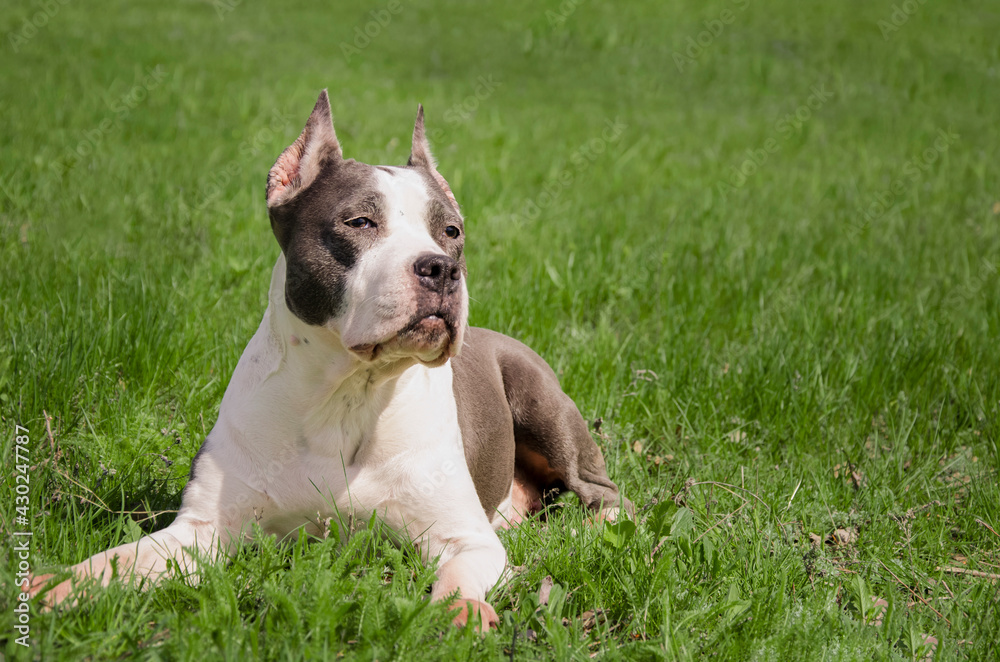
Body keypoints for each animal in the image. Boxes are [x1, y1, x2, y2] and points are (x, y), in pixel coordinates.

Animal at [33, 89, 632, 632]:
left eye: (452, 231)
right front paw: (59, 585)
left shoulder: (465, 537)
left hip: (541, 400)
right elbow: (118, 561)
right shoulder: (200, 531)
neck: (348, 394)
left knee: (604, 495)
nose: (442, 267)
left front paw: (459, 611)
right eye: (360, 222)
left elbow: (459, 574)